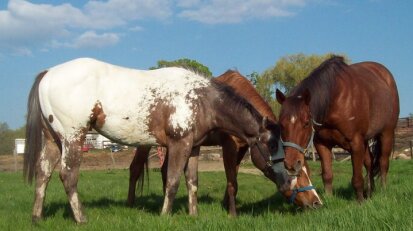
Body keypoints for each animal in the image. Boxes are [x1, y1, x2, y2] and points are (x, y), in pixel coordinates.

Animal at [23, 58, 280, 224]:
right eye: (272, 145)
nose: (287, 182)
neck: (201, 99)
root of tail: (48, 73)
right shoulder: (179, 144)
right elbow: (173, 181)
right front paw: (165, 215)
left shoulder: (193, 148)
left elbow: (192, 182)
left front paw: (193, 214)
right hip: (72, 138)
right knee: (68, 176)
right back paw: (81, 218)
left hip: (53, 140)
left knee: (43, 173)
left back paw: (37, 217)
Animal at [129, 70, 322, 217]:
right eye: (297, 173)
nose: (316, 202)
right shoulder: (229, 146)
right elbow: (232, 182)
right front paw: (233, 214)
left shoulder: (242, 148)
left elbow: (233, 177)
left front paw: (226, 206)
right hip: (146, 141)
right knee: (135, 168)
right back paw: (131, 204)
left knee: (164, 171)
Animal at [276, 55, 398, 201]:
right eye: (281, 124)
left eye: (306, 123)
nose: (291, 164)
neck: (334, 99)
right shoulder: (322, 144)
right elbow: (327, 175)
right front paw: (329, 199)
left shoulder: (355, 143)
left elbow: (357, 178)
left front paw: (360, 201)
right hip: (365, 140)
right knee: (369, 162)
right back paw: (370, 191)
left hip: (386, 133)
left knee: (383, 163)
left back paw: (383, 191)